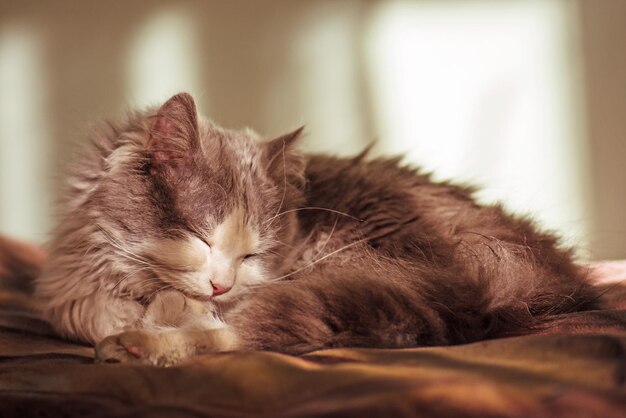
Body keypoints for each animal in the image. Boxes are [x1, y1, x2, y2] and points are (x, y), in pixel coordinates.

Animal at [33, 92, 596, 366]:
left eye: (252, 255)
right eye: (200, 237)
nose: (222, 284)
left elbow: (215, 321)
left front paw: (163, 317)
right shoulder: (74, 295)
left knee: (253, 334)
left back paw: (138, 346)